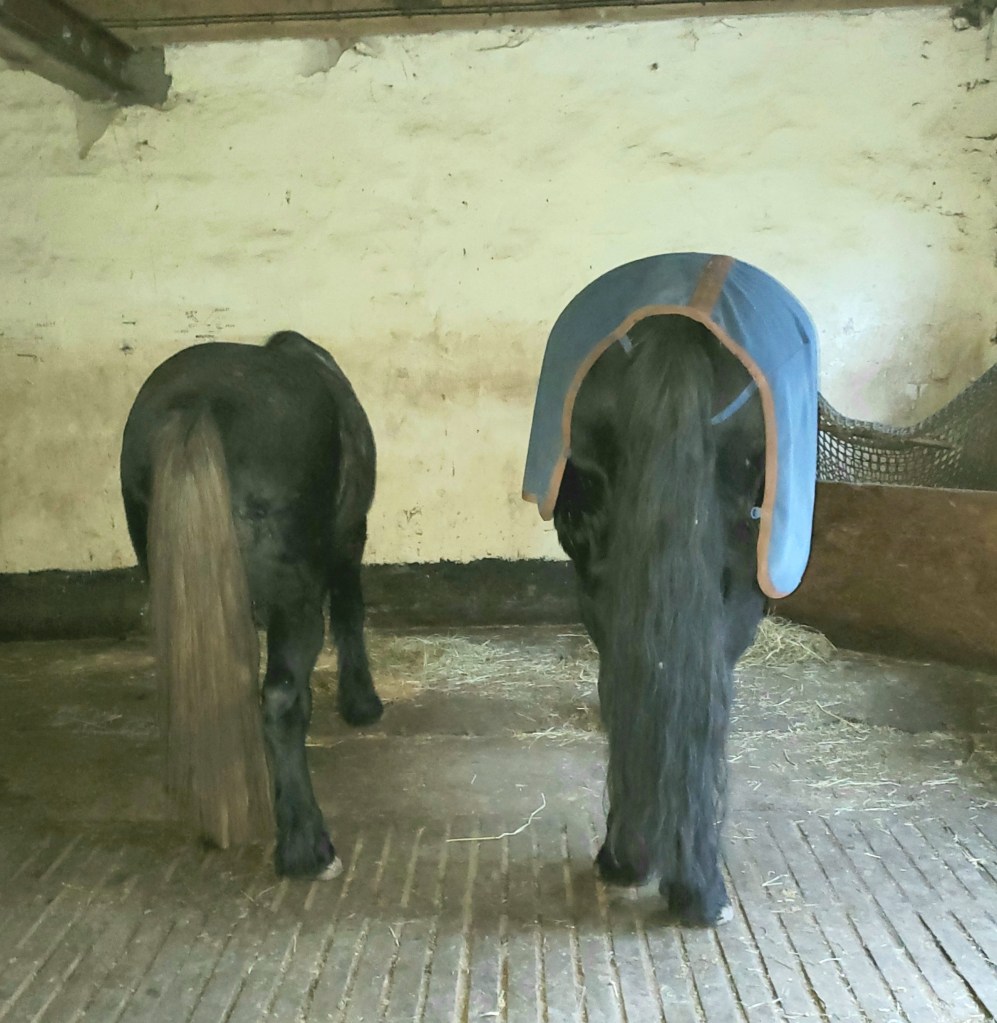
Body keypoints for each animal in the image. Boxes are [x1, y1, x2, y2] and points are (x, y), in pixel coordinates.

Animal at [120, 330, 383, 880]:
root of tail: (199, 405)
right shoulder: (349, 539)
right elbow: (350, 612)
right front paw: (361, 701)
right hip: (296, 604)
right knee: (280, 701)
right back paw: (307, 845)